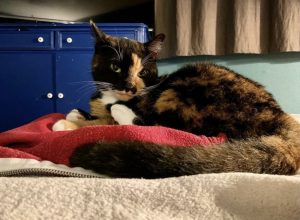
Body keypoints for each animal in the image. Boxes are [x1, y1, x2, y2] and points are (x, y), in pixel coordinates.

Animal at [52, 21, 300, 178]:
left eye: (143, 72)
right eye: (115, 67)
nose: (130, 88)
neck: (109, 96)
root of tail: (281, 117)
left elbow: (102, 121)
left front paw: (68, 123)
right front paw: (76, 114)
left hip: (185, 89)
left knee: (175, 128)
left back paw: (120, 112)